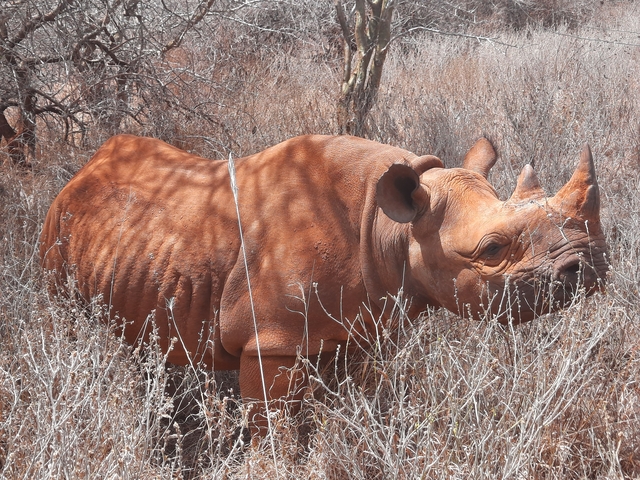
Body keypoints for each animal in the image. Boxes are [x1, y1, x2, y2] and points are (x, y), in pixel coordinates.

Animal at [40, 134, 608, 432]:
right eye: (491, 249)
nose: (588, 266)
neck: (390, 225)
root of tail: (79, 173)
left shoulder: (361, 328)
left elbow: (341, 408)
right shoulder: (271, 341)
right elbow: (275, 427)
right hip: (56, 240)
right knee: (71, 327)